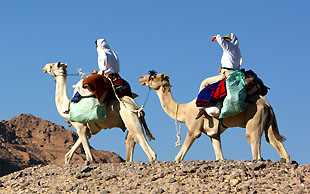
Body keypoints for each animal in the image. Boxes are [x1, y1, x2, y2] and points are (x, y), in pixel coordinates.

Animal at [139, 73, 290, 163]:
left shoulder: (193, 130)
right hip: (267, 122)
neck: (184, 110)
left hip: (255, 119)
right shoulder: (214, 134)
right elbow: (219, 156)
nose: (141, 78)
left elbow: (178, 157)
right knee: (275, 142)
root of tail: (267, 104)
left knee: (253, 142)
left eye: (152, 76)